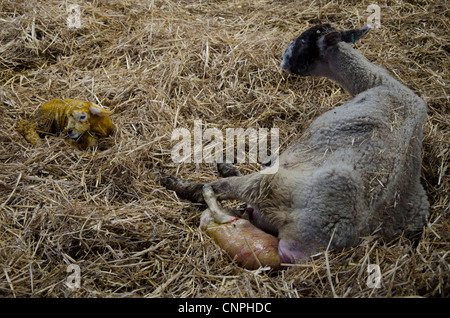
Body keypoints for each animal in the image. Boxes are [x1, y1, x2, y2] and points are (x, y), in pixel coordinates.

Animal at [159, 24, 428, 268]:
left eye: (303, 41)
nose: (282, 59)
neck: (377, 82)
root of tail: (309, 246)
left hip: (273, 187)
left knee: (220, 191)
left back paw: (177, 182)